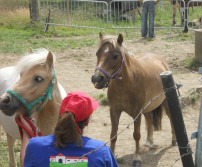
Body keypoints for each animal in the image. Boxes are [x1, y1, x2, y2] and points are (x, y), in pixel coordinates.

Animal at [91, 33, 175, 166]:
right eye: (97, 53)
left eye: (115, 56)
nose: (97, 78)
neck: (127, 83)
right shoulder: (114, 111)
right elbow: (113, 135)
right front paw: (113, 155)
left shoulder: (136, 113)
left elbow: (136, 135)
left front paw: (137, 158)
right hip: (146, 108)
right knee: (149, 120)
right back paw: (148, 143)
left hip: (165, 103)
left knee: (171, 118)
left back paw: (174, 140)